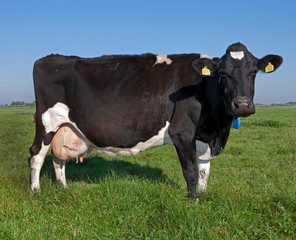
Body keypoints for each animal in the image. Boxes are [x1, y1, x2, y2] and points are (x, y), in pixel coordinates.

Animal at [29, 42, 282, 201]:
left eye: (253, 72)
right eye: (223, 74)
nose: (242, 105)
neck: (217, 130)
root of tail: (49, 58)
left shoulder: (204, 138)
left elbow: (204, 172)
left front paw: (203, 195)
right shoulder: (182, 132)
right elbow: (190, 170)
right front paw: (193, 201)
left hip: (66, 127)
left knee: (58, 158)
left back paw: (63, 188)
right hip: (46, 122)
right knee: (36, 154)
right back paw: (35, 191)